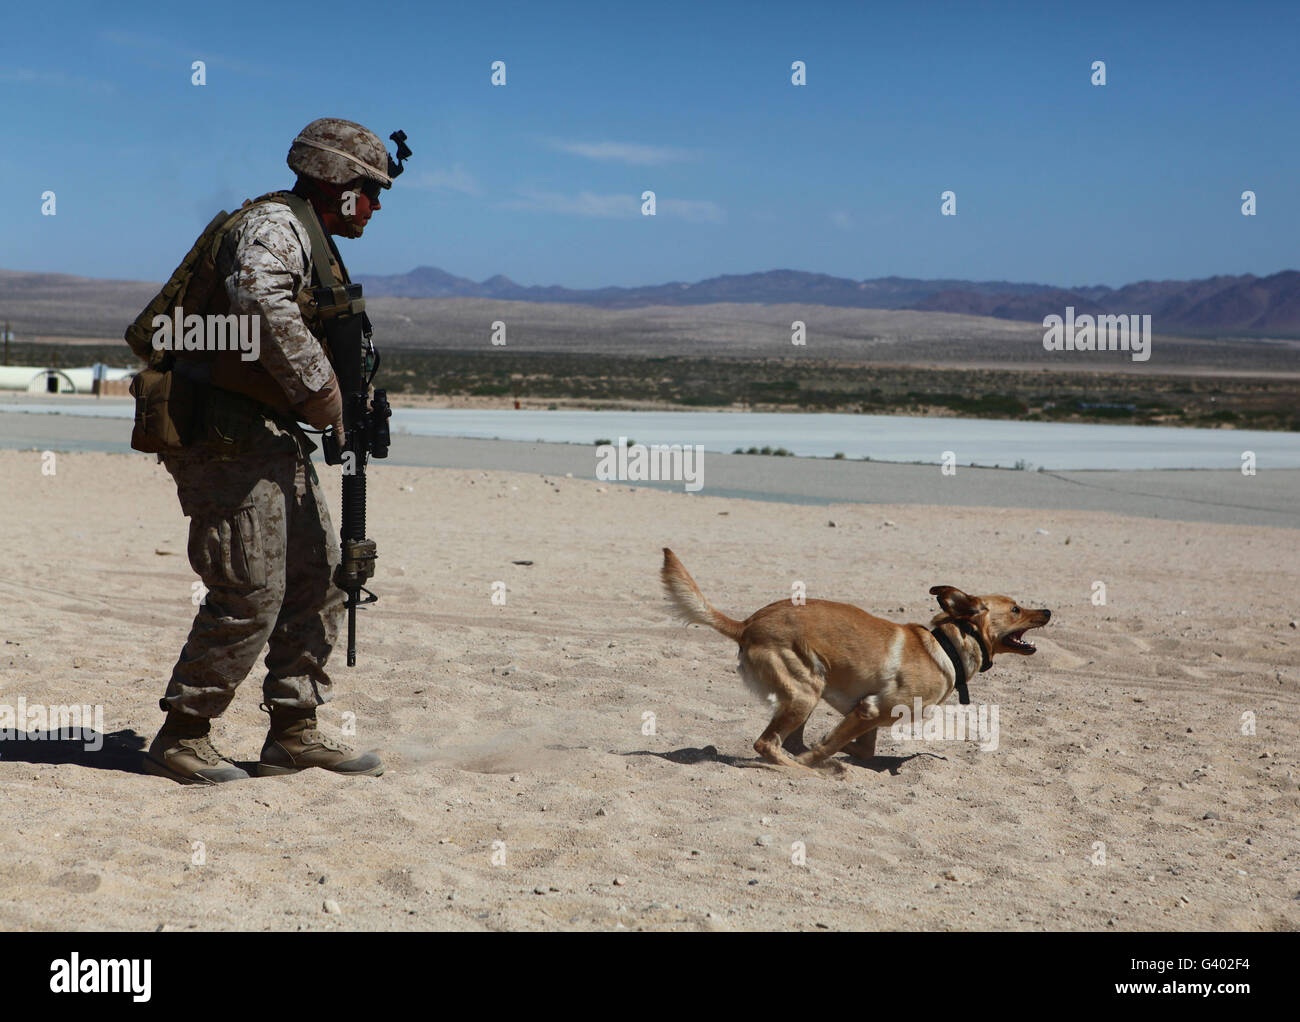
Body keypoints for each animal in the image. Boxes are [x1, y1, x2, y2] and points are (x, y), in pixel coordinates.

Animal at [665, 548, 1050, 774]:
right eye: (1016, 609)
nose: (1047, 611)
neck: (948, 646)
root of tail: (746, 624)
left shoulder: (869, 715)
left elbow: (858, 747)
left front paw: (835, 748)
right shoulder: (871, 710)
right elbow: (830, 745)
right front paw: (818, 758)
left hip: (806, 693)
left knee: (786, 741)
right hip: (805, 690)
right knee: (767, 745)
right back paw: (803, 771)